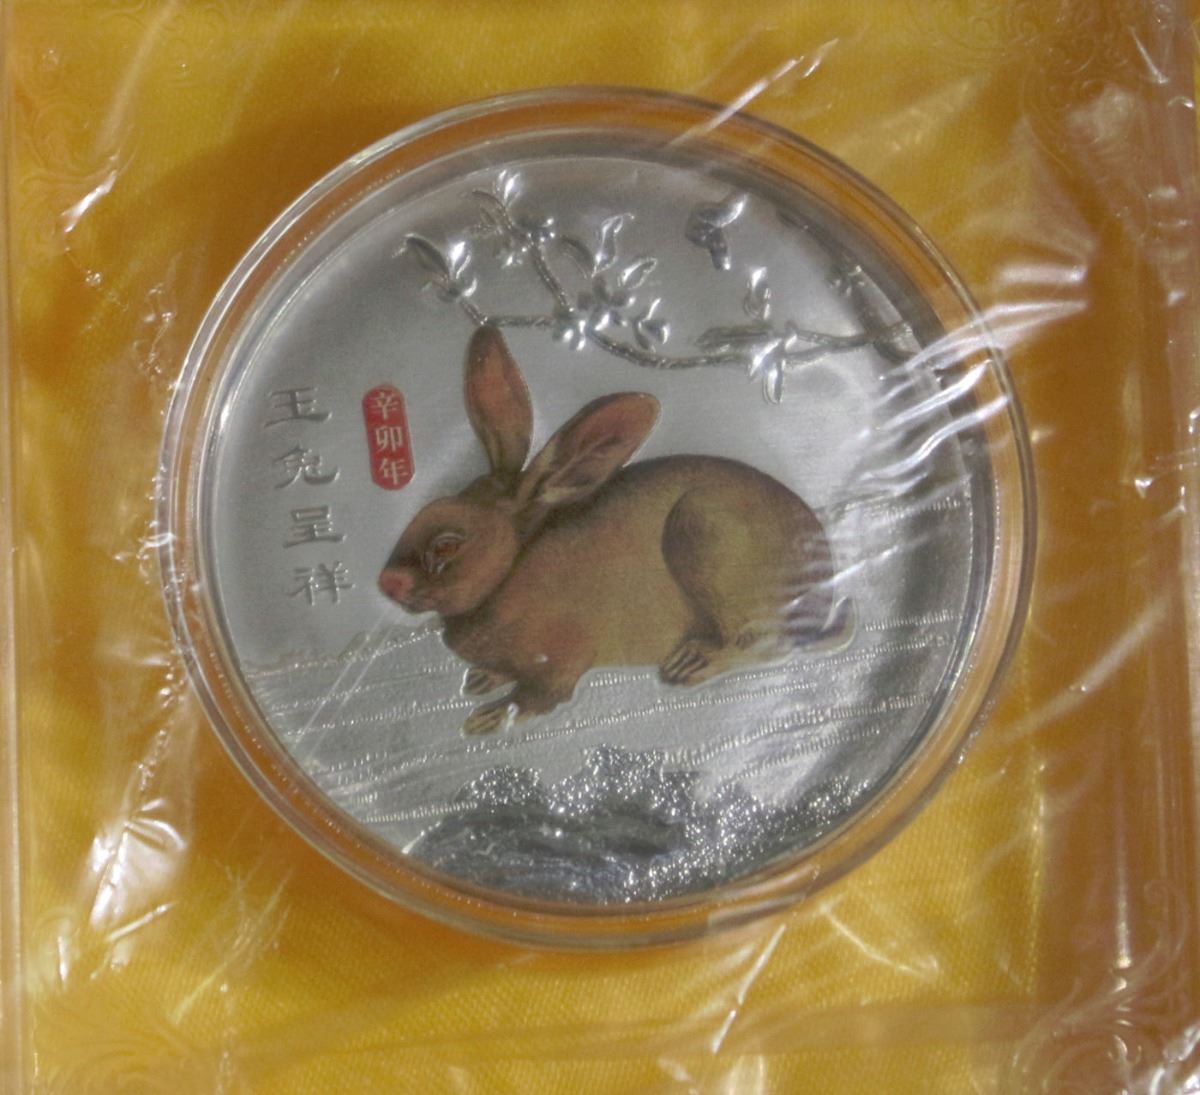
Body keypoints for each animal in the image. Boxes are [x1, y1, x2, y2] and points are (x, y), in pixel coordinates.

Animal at [379, 325, 853, 735]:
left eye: (447, 545)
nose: (387, 582)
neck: (509, 569)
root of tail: (820, 600)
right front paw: (480, 679)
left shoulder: (563, 659)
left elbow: (541, 697)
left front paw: (487, 719)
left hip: (706, 538)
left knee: (763, 644)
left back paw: (691, 664)